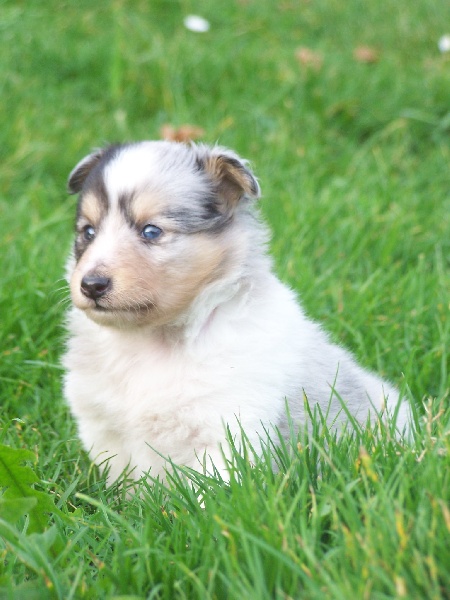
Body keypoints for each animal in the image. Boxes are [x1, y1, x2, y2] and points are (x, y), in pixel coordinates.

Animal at [63, 143, 412, 486]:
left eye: (150, 231)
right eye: (88, 232)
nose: (91, 285)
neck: (153, 339)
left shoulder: (229, 428)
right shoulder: (103, 428)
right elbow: (122, 483)